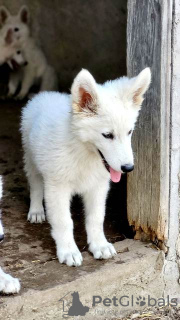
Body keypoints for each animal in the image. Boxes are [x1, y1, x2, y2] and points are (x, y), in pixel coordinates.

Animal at [20, 68, 150, 268]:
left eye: (129, 132)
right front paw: (68, 250)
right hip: (31, 158)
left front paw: (100, 245)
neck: (84, 152)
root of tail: (45, 95)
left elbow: (96, 218)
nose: (128, 168)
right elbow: (64, 221)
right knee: (35, 185)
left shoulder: (98, 187)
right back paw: (36, 210)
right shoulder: (57, 188)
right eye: (107, 135)